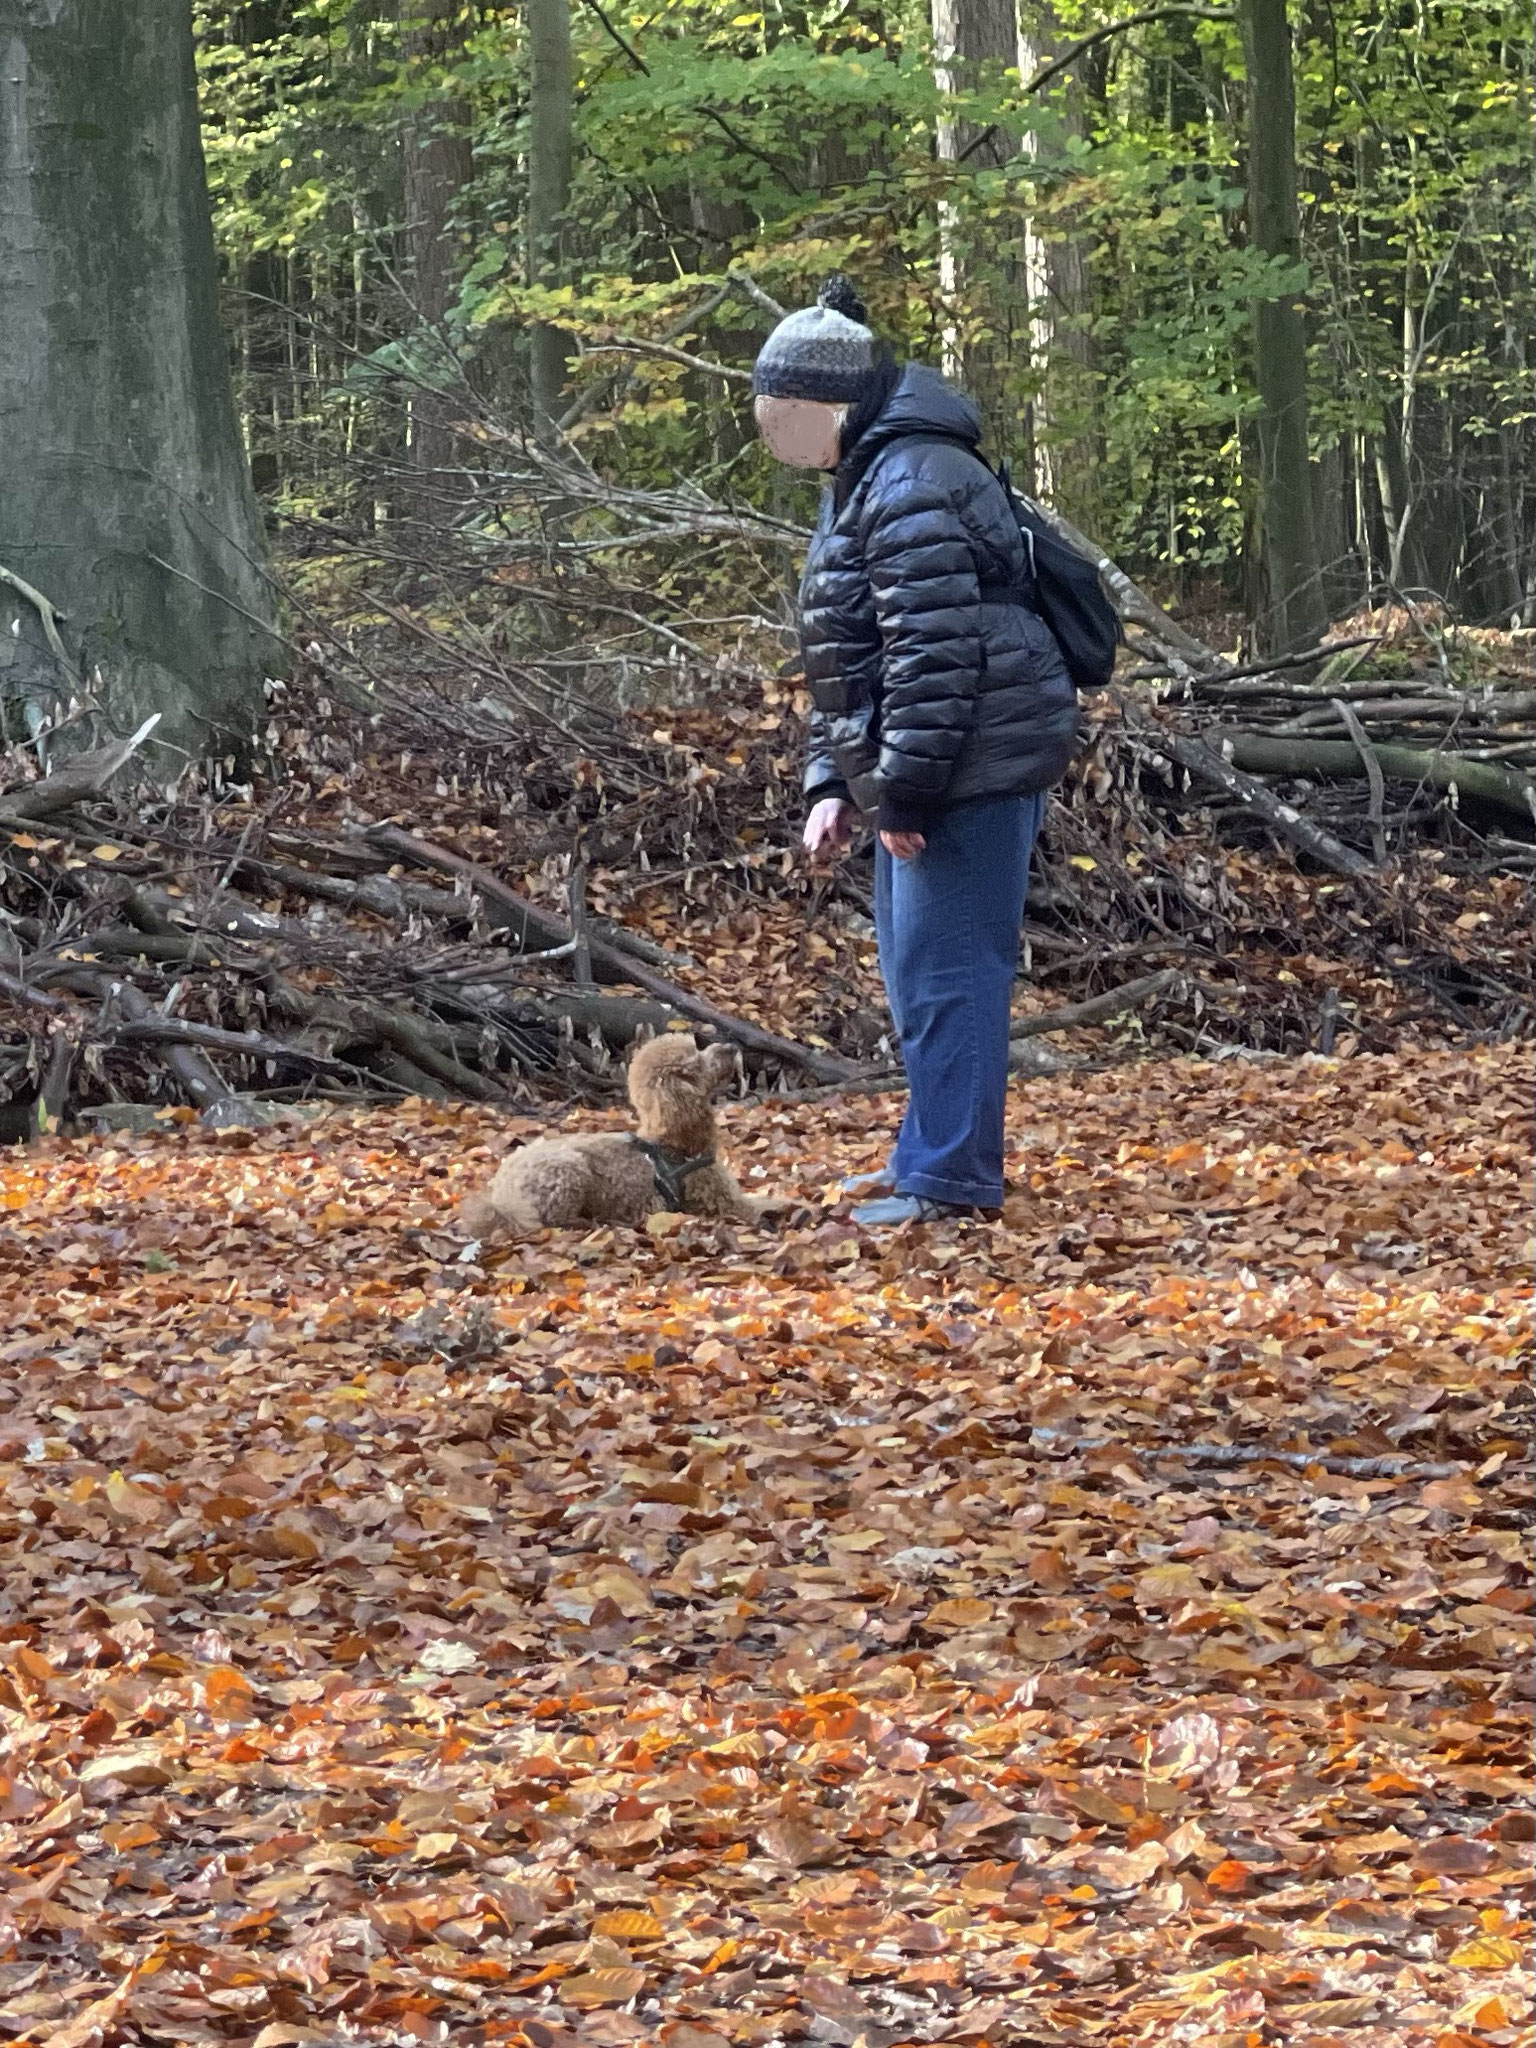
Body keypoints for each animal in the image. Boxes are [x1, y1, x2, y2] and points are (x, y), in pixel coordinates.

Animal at [460, 1040, 765, 1228]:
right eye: (696, 1060)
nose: (731, 1046)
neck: (672, 1143)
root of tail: (501, 1197)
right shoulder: (725, 1202)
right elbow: (764, 1205)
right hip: (567, 1172)